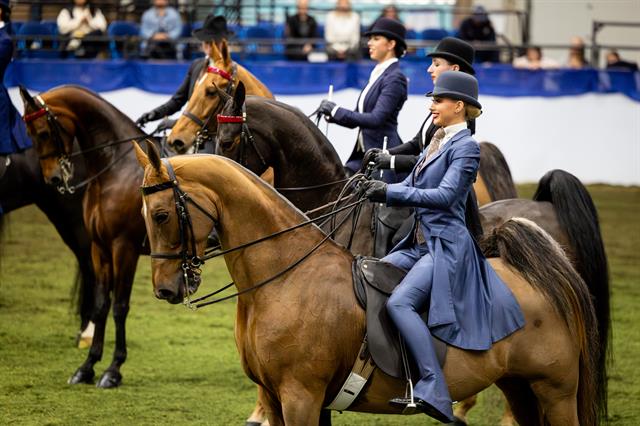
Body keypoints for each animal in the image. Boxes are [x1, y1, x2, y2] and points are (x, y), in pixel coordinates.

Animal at [20, 84, 152, 388]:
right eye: (29, 134)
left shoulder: (124, 248)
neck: (117, 167)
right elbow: (101, 306)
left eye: (44, 133)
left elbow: (120, 306)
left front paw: (113, 370)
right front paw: (87, 366)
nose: (53, 179)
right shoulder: (99, 248)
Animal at [135, 147, 606, 426]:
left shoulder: (301, 397)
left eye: (161, 214)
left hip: (555, 393)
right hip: (521, 389)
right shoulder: (277, 397)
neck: (286, 277)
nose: (164, 289)